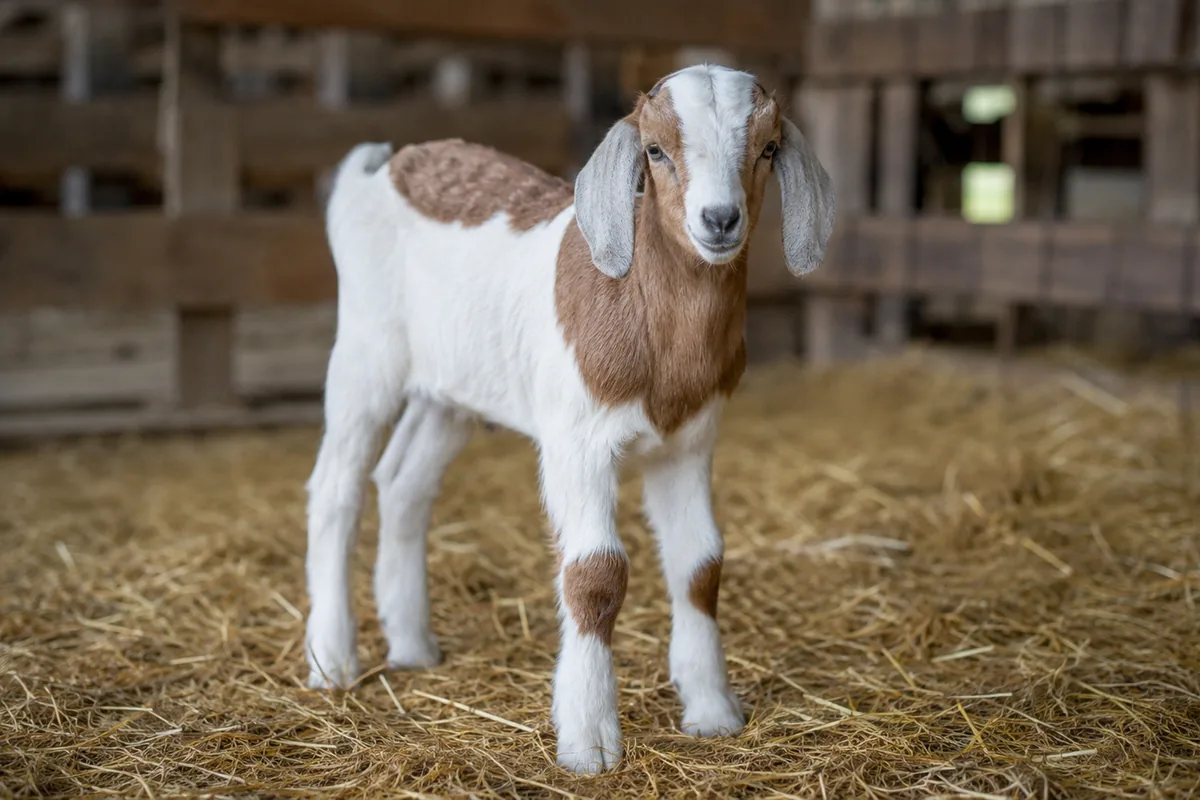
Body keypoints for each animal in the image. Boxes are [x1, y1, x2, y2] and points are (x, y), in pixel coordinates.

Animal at [304, 63, 836, 774]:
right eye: (655, 151)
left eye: (770, 148)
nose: (719, 219)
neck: (646, 313)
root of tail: (379, 167)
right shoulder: (577, 441)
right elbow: (595, 573)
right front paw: (589, 742)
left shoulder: (689, 444)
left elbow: (701, 565)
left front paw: (714, 713)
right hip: (367, 352)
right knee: (337, 488)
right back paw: (332, 660)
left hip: (452, 388)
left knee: (403, 482)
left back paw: (413, 644)